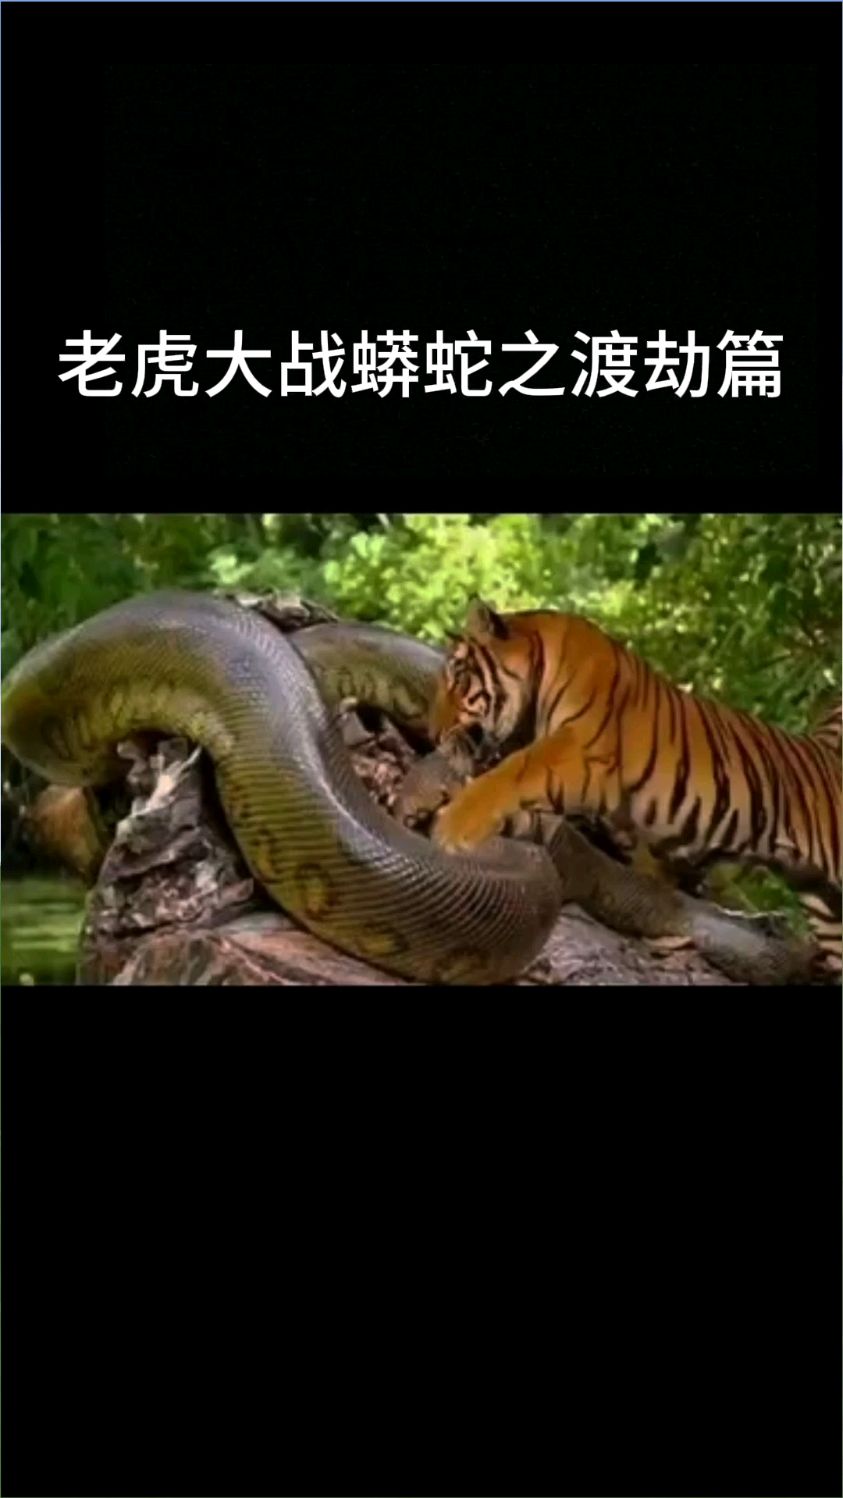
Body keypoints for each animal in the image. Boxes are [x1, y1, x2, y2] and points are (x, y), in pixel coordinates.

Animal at [429, 598, 843, 977]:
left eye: (460, 678)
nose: (434, 732)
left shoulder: (582, 754)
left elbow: (513, 772)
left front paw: (453, 828)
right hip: (827, 909)